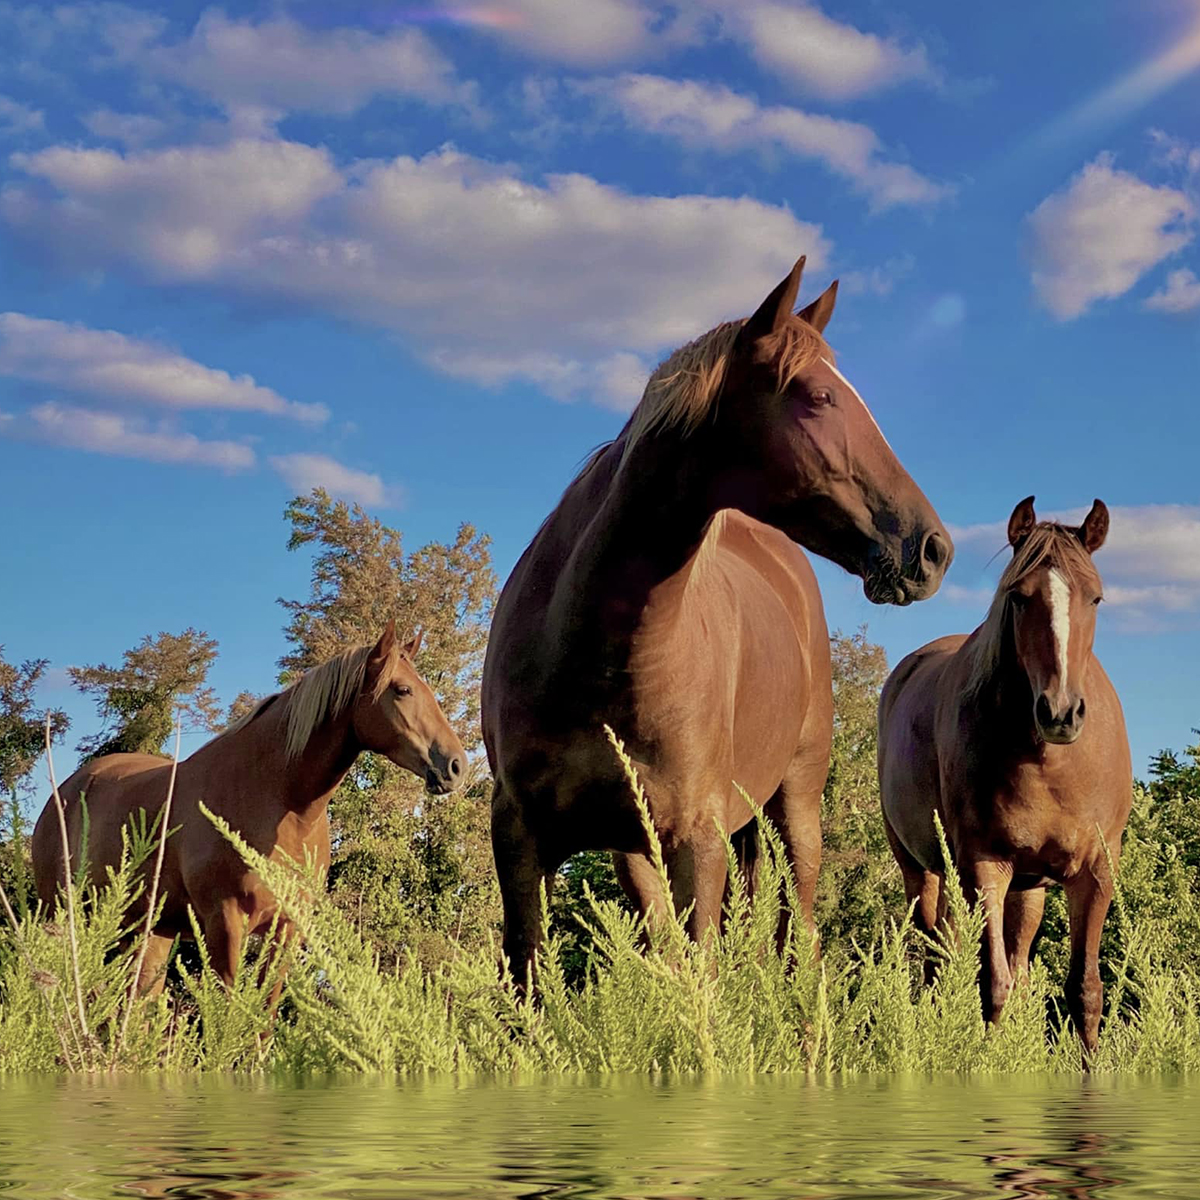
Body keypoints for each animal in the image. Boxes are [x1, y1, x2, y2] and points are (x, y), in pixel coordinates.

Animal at [31, 621, 466, 994]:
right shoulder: (224, 923)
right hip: (65, 917)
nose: (456, 765)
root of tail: (64, 792)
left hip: (148, 930)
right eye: (402, 690)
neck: (276, 798)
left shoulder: (286, 928)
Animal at [482, 255, 953, 980]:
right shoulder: (521, 838)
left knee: (795, 935)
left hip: (794, 811)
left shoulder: (695, 840)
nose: (931, 549)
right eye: (820, 397)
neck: (591, 651)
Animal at [878, 497, 1131, 1055]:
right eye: (1018, 597)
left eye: (1096, 598)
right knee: (935, 960)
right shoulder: (984, 868)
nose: (1060, 712)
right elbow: (990, 987)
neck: (1049, 765)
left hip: (1028, 888)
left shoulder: (1094, 875)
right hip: (922, 871)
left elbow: (1085, 992)